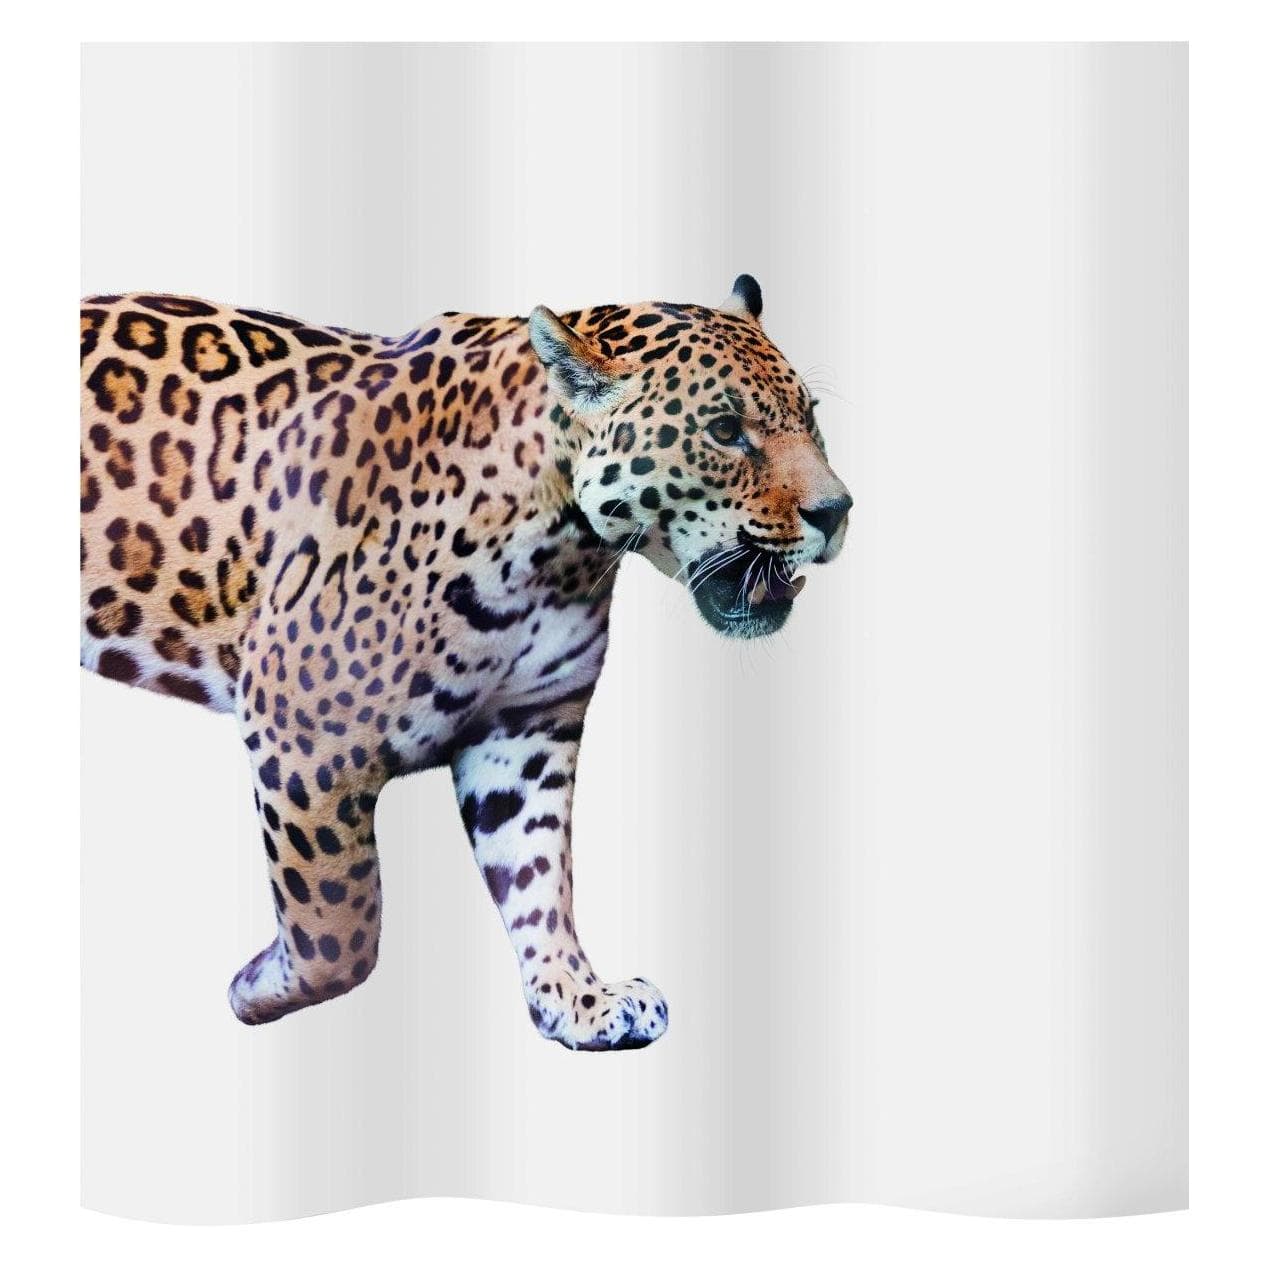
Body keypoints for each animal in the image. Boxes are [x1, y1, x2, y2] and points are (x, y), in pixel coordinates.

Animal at [80, 274, 852, 1050]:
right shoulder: (303, 734)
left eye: (812, 418)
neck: (562, 554)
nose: (838, 511)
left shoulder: (527, 731)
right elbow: (340, 923)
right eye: (725, 432)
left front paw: (577, 997)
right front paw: (255, 986)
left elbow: (537, 873)